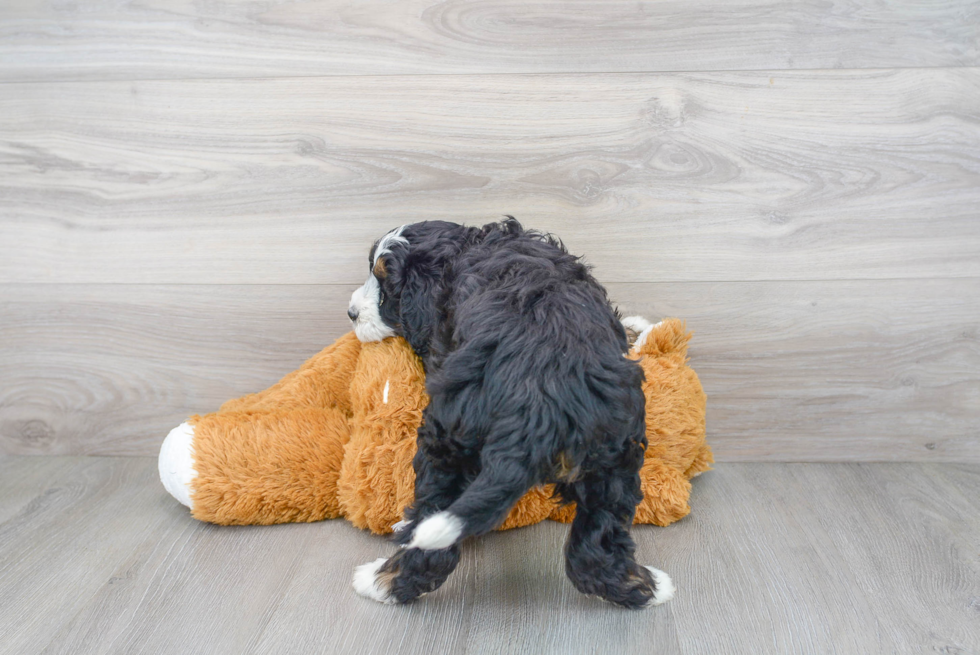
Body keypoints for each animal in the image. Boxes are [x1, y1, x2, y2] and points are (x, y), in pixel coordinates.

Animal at [346, 219, 672, 608]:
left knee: (433, 526)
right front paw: (638, 328)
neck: (466, 247)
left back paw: (380, 579)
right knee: (595, 547)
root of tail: (540, 404)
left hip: (446, 435)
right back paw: (647, 587)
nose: (351, 312)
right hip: (614, 454)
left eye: (387, 290)